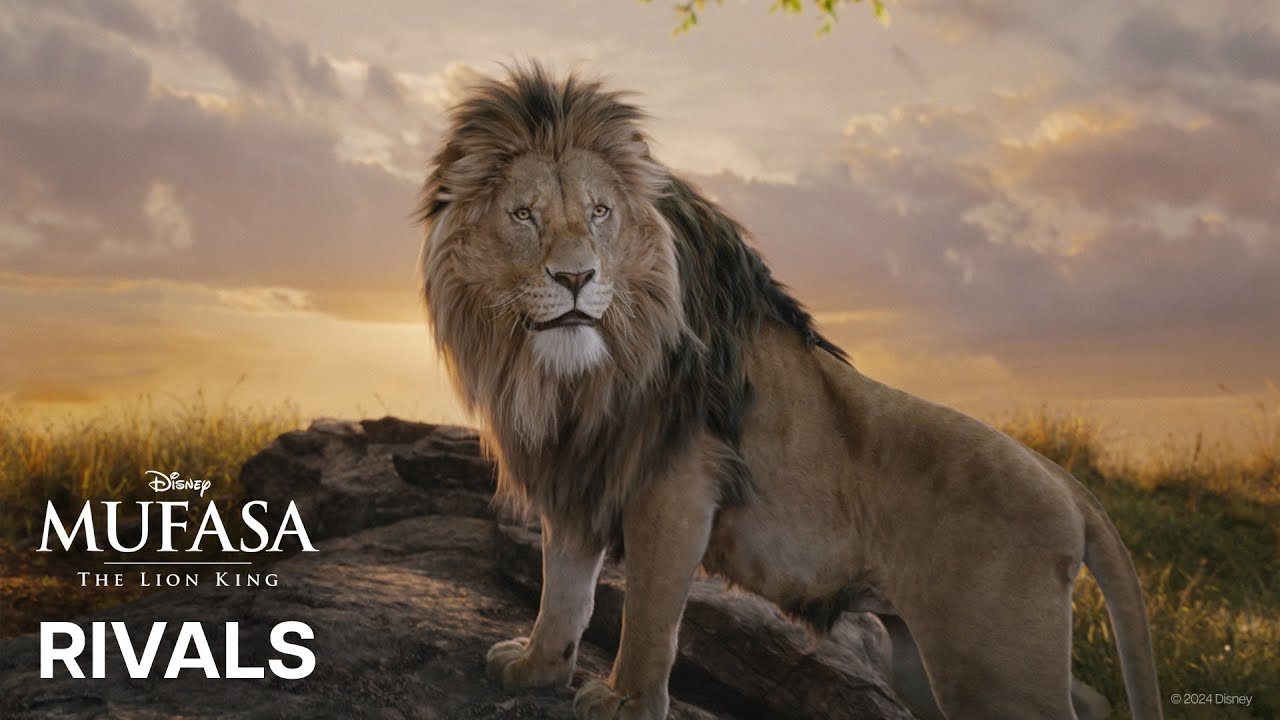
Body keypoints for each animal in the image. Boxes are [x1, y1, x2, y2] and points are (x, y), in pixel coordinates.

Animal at [417, 65, 1162, 720]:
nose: (576, 279)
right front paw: (536, 667)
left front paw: (625, 702)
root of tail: (1067, 484)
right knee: (1089, 699)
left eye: (600, 212)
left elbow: (649, 615)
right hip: (928, 663)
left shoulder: (676, 490)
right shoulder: (579, 474)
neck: (576, 371)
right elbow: (564, 590)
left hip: (990, 665)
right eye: (523, 215)